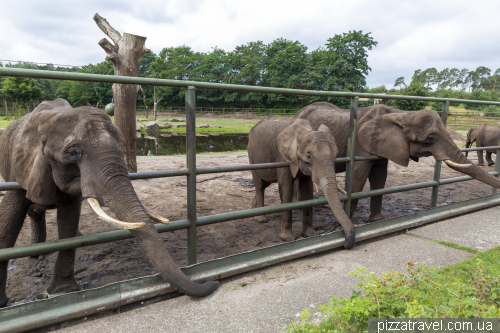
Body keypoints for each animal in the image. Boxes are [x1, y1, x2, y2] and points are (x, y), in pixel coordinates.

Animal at [0, 98, 219, 306]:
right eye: (72, 152)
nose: (214, 282)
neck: (51, 118)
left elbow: (68, 221)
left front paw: (64, 292)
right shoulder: (21, 167)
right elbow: (9, 222)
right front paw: (5, 303)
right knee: (34, 211)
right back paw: (36, 255)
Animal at [247, 115, 356, 248]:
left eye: (336, 155)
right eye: (308, 156)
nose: (346, 243)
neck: (304, 131)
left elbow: (307, 190)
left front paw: (310, 235)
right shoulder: (283, 157)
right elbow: (287, 189)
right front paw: (287, 238)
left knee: (265, 183)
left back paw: (254, 210)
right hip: (252, 155)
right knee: (259, 184)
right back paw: (261, 219)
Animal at [292, 101, 500, 220]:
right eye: (431, 138)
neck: (401, 114)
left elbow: (380, 177)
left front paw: (377, 221)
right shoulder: (361, 143)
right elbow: (359, 174)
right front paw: (346, 221)